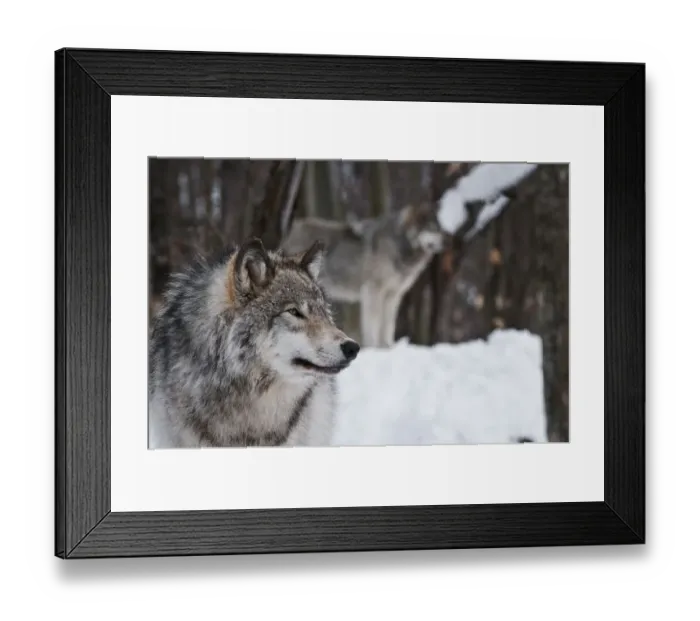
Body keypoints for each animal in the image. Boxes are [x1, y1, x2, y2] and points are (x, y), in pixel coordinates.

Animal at [280, 202, 445, 348]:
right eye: (432, 228)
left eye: (440, 229)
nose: (445, 243)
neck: (399, 245)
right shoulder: (373, 291)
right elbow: (373, 323)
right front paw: (374, 347)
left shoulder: (393, 295)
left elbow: (388, 325)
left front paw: (387, 346)